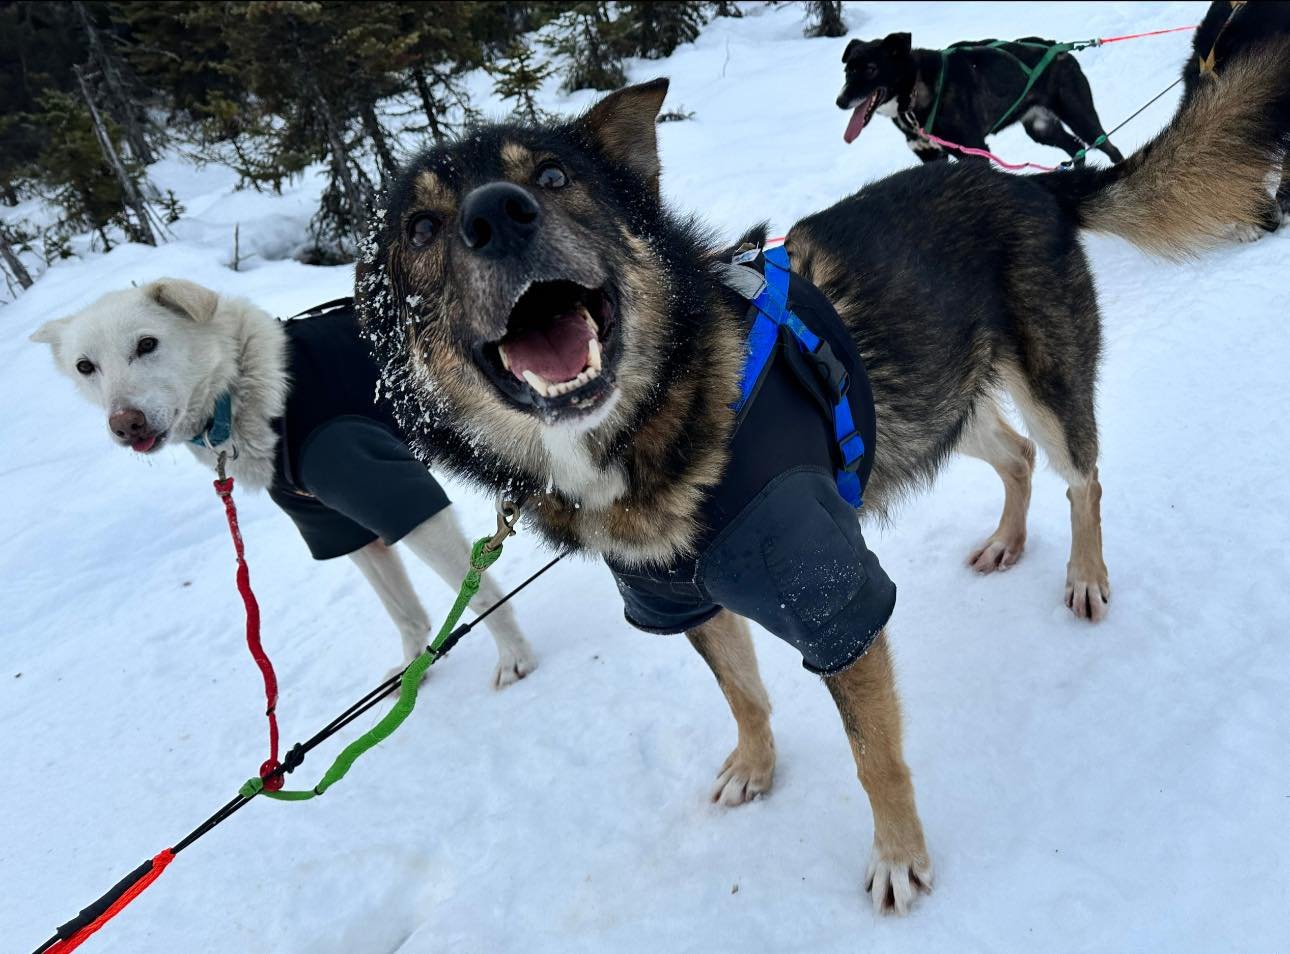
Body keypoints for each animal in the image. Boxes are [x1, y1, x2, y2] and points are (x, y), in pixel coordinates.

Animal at [31, 279, 534, 691]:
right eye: (85, 366)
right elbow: (405, 613)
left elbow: (480, 594)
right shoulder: (337, 528)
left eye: (147, 343)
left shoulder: (400, 500)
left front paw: (513, 654)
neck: (252, 393)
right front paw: (413, 667)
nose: (125, 423)